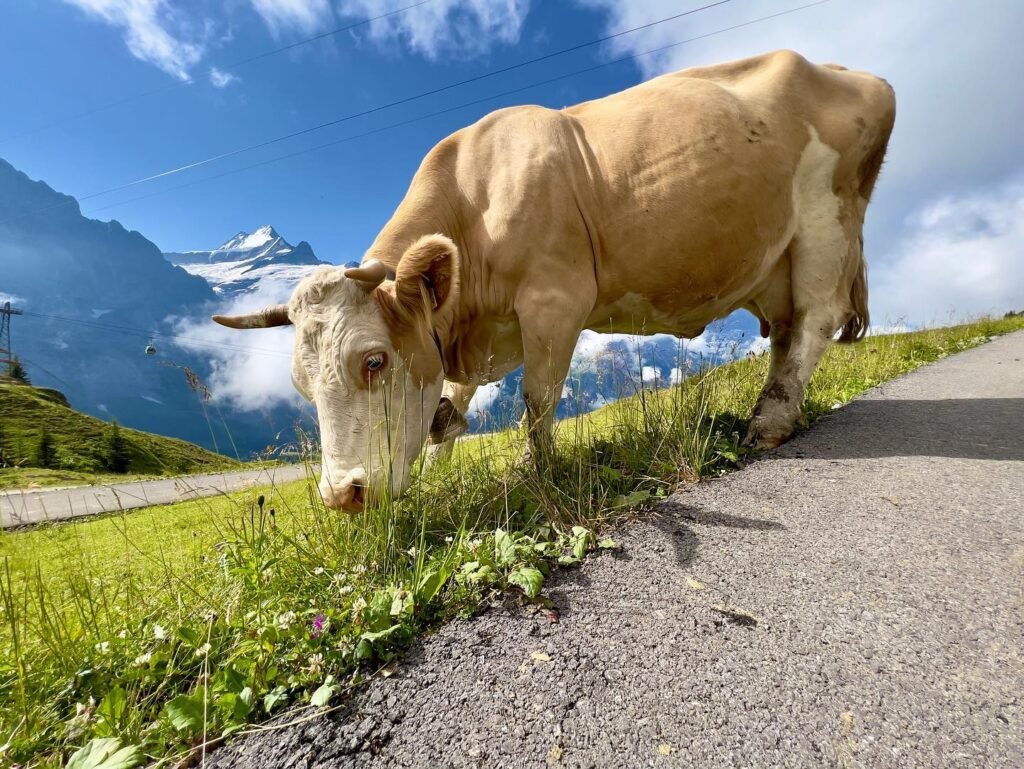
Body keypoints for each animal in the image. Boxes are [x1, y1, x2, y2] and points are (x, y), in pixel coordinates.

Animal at [214, 50, 896, 512]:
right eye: (300, 384)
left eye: (374, 360)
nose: (342, 496)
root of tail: (855, 73)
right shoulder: (473, 333)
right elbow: (448, 410)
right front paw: (439, 470)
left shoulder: (554, 301)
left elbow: (537, 400)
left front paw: (533, 472)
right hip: (777, 259)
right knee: (785, 332)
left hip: (825, 224)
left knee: (813, 321)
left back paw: (769, 423)